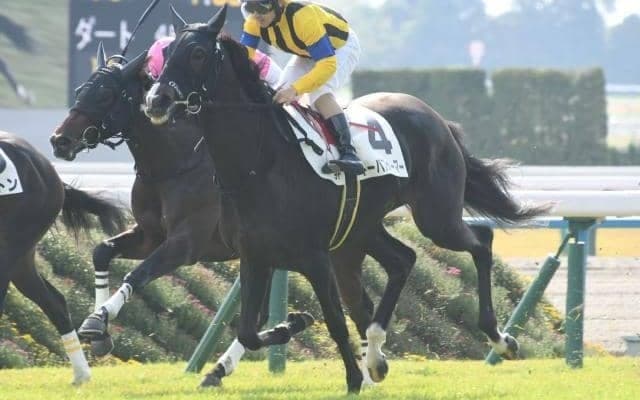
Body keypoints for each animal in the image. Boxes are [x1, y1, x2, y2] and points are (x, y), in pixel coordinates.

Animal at [144, 6, 549, 394]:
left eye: (197, 54)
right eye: (166, 52)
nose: (155, 100)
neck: (260, 165)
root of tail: (438, 120)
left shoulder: (315, 257)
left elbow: (334, 321)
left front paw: (352, 378)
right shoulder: (254, 256)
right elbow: (248, 329)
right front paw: (293, 326)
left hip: (436, 217)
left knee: (481, 242)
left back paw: (500, 339)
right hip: (361, 229)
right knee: (403, 260)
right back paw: (376, 357)